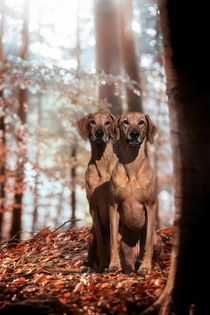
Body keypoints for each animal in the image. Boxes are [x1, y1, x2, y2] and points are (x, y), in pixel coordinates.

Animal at [76, 111, 117, 272]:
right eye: (92, 122)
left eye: (107, 122)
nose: (99, 133)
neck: (102, 161)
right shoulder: (92, 205)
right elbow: (100, 240)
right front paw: (103, 265)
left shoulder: (112, 203)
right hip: (90, 235)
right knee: (90, 256)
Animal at [108, 113, 158, 274]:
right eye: (125, 122)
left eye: (141, 122)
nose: (134, 133)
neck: (132, 165)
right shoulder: (113, 205)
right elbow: (112, 240)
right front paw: (113, 264)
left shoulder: (150, 205)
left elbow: (147, 242)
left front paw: (146, 266)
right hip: (122, 238)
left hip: (156, 238)